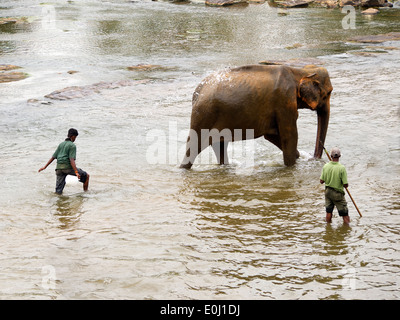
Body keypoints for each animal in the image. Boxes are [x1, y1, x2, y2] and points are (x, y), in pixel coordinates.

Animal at [180, 63, 332, 169]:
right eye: (329, 93)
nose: (314, 159)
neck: (300, 71)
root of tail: (197, 92)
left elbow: (272, 135)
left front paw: (298, 156)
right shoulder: (284, 102)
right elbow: (289, 136)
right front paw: (292, 166)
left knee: (220, 145)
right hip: (204, 116)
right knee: (194, 146)